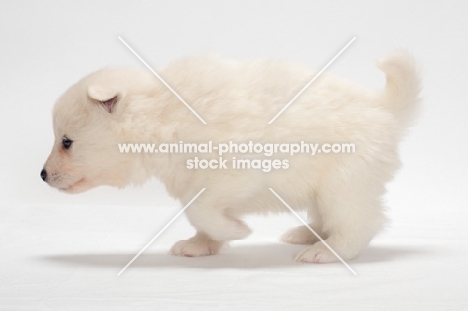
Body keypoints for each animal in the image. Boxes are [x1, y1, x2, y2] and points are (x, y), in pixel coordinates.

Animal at [41, 53, 420, 264]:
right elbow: (199, 217)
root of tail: (383, 108)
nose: (42, 175)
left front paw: (236, 230)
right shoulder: (192, 182)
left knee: (359, 224)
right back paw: (306, 234)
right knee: (330, 218)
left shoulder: (233, 172)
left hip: (343, 183)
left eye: (66, 142)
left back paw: (326, 251)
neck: (164, 114)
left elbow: (203, 210)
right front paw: (200, 245)